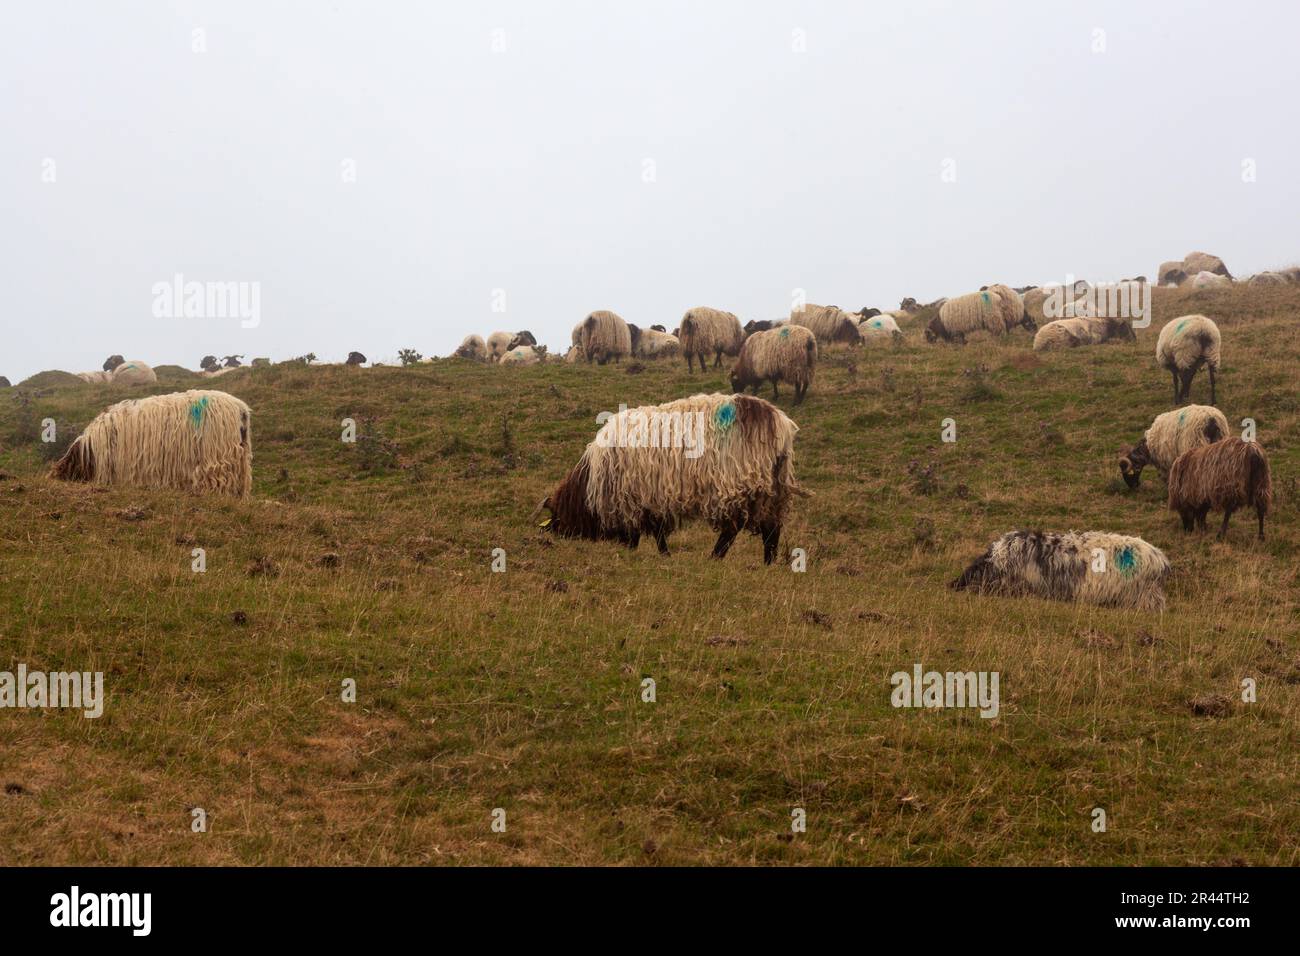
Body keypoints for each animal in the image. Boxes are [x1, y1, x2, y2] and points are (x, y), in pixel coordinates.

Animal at [535, 392, 800, 564]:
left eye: (556, 516)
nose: (555, 537)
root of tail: (779, 423)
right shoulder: (651, 497)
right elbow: (655, 529)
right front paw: (660, 553)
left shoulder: (635, 497)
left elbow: (644, 531)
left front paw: (648, 553)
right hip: (770, 487)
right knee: (771, 527)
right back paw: (768, 563)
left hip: (735, 482)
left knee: (733, 527)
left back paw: (714, 558)